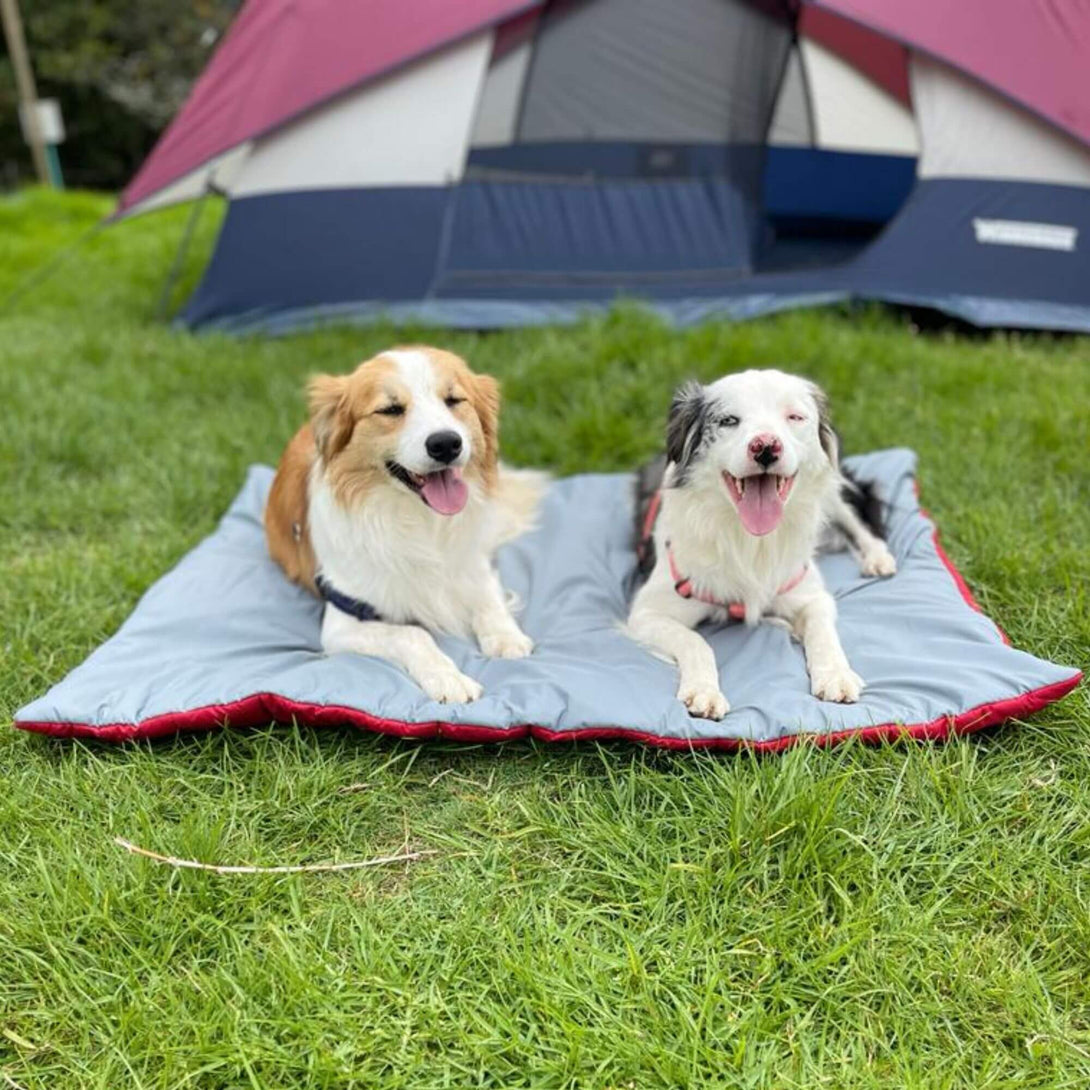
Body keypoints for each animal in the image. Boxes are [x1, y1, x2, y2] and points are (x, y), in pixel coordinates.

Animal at [265, 348, 545, 706]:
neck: (421, 521)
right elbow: (413, 634)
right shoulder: (344, 622)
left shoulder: (473, 564)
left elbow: (488, 598)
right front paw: (449, 679)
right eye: (390, 410)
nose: (446, 444)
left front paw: (506, 637)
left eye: (454, 400)